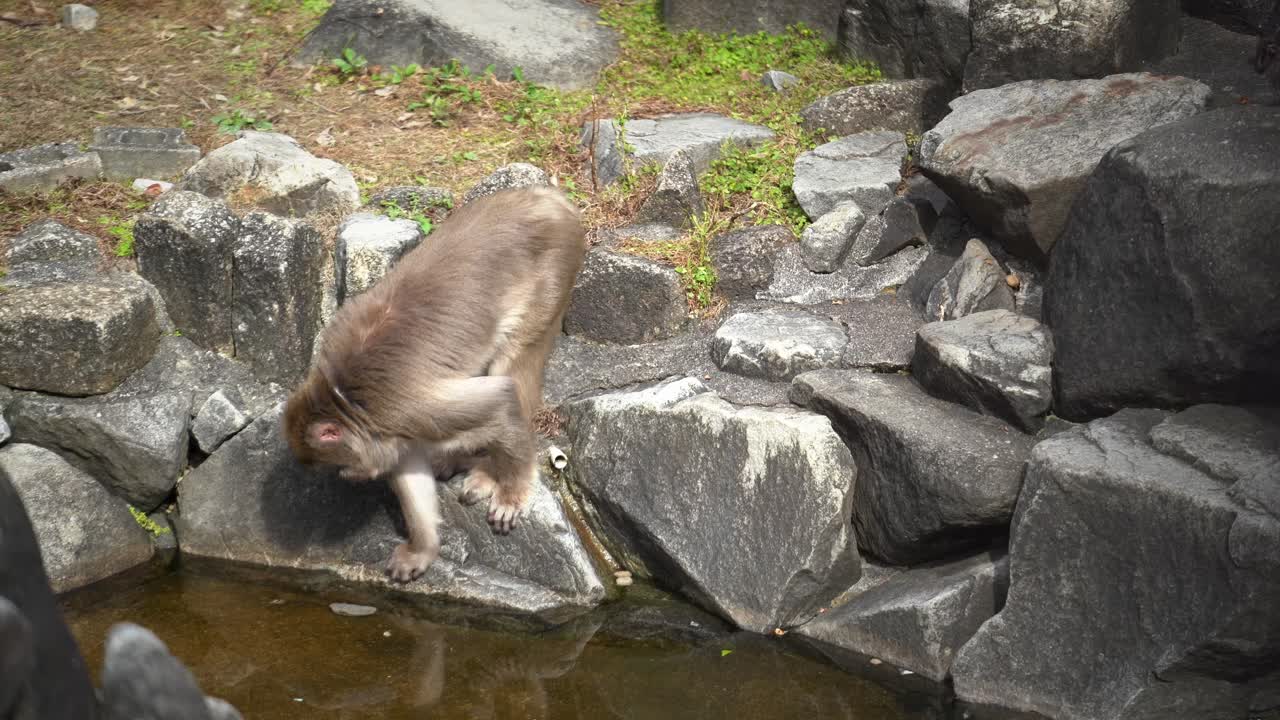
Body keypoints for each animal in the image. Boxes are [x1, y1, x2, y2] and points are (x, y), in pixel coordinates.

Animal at [282, 186, 586, 583]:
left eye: (335, 465)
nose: (347, 475)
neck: (343, 397)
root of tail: (548, 196)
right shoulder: (397, 425)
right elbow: (407, 467)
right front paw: (422, 550)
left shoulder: (405, 408)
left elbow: (500, 398)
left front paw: (513, 491)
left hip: (554, 273)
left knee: (512, 365)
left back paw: (490, 473)